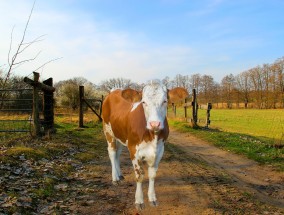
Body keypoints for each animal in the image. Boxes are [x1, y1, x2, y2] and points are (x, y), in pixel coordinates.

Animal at [102, 80, 182, 210]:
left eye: (165, 101)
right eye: (143, 102)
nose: (155, 123)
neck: (152, 135)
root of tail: (114, 91)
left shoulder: (160, 150)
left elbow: (152, 175)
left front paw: (152, 198)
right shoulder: (134, 150)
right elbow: (139, 176)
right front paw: (139, 201)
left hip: (120, 135)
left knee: (118, 153)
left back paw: (120, 175)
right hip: (108, 130)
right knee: (112, 153)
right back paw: (115, 178)